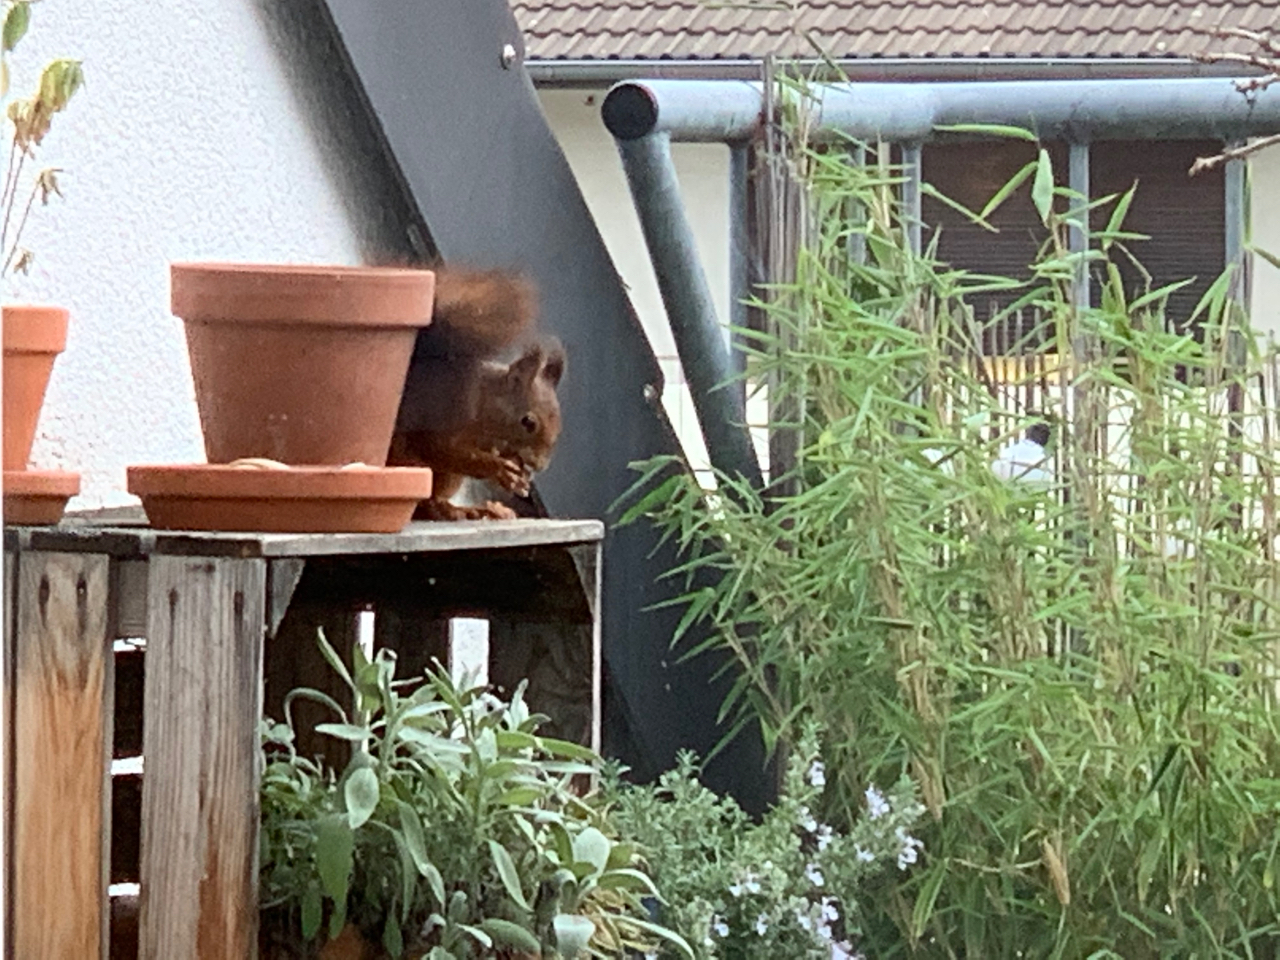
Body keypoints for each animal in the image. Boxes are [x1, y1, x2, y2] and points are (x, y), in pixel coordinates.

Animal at [387, 267, 566, 521]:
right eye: (528, 422)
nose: (539, 466)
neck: (484, 405)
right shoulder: (442, 415)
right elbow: (442, 449)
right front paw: (500, 469)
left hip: (448, 478)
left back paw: (464, 509)